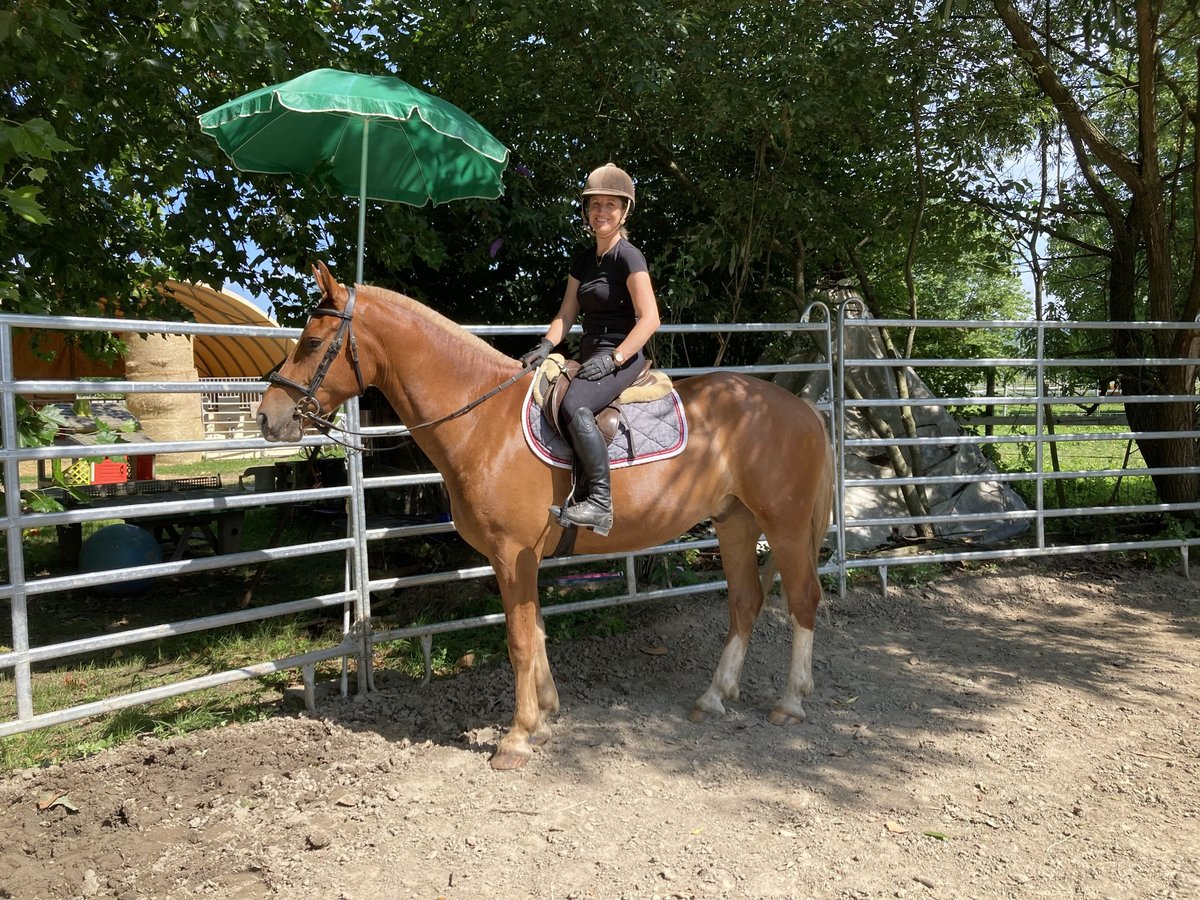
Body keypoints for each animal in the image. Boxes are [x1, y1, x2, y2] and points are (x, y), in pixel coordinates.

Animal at [255, 262, 835, 777]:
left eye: (313, 342)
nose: (267, 416)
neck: (482, 419)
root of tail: (801, 408)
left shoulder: (513, 555)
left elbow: (518, 640)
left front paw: (516, 737)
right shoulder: (521, 558)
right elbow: (535, 631)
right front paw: (546, 716)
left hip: (783, 525)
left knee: (802, 598)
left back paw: (790, 703)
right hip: (735, 522)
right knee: (746, 601)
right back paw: (714, 696)